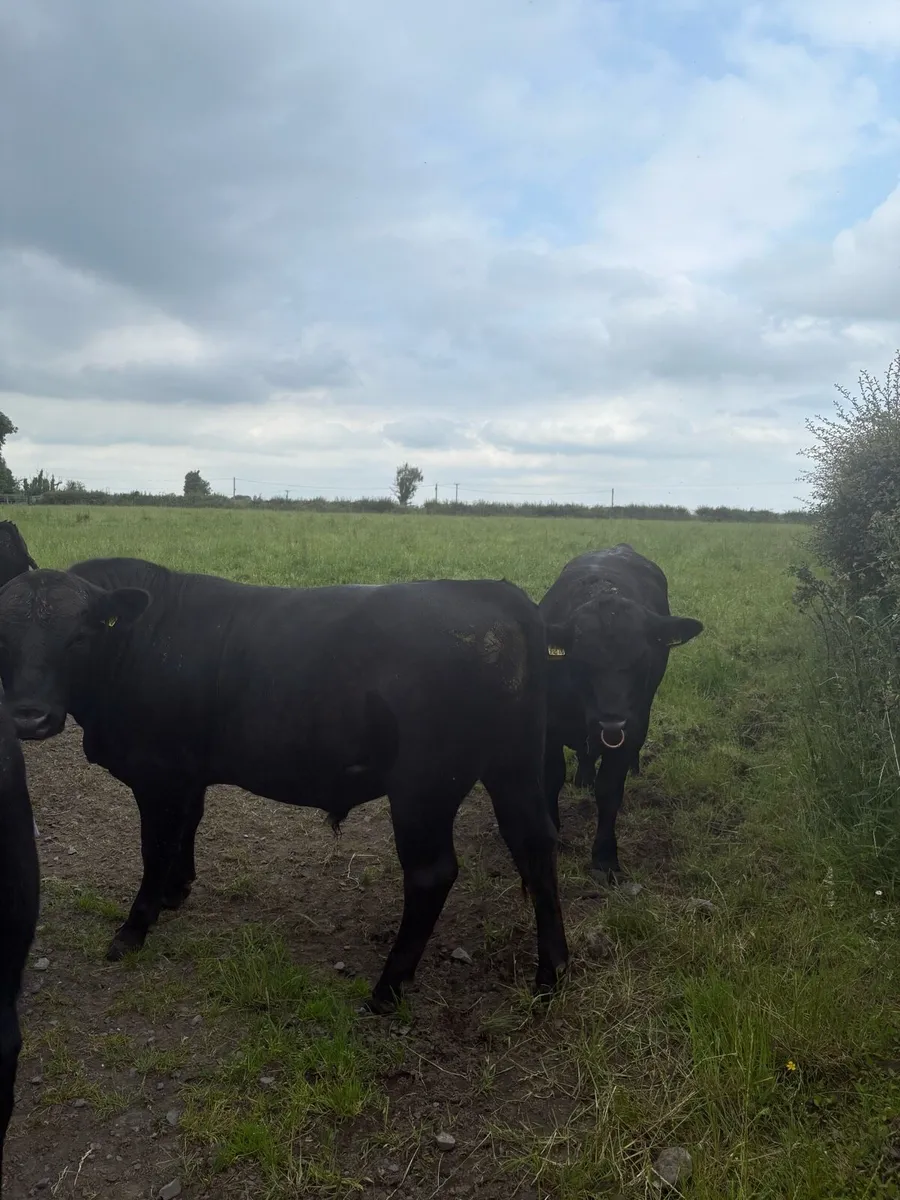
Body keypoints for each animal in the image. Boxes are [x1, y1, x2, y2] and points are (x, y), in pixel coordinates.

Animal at [0, 558, 568, 1014]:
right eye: (5, 636)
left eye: (79, 636)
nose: (29, 718)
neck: (139, 645)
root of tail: (491, 591)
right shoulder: (187, 774)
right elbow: (185, 831)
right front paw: (176, 892)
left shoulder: (156, 774)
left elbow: (154, 848)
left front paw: (134, 928)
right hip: (514, 765)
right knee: (535, 845)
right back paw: (552, 973)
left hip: (422, 788)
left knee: (432, 875)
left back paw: (387, 989)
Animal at [539, 545, 703, 881]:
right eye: (580, 660)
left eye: (642, 658)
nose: (611, 719)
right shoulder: (550, 728)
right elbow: (553, 778)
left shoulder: (631, 728)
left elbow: (609, 790)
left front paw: (604, 858)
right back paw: (584, 776)